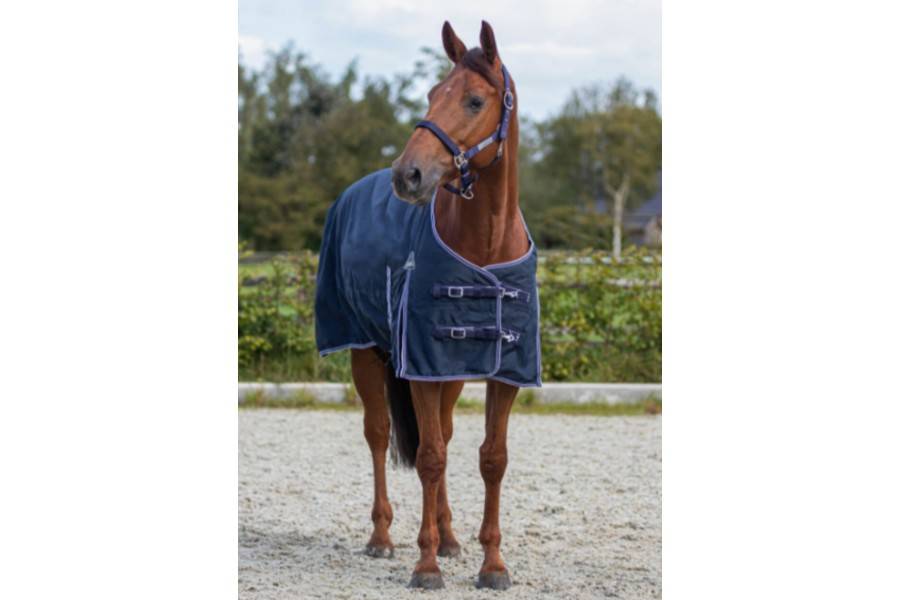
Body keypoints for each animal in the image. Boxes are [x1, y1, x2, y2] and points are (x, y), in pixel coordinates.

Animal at [314, 20, 539, 591]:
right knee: (379, 435)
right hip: (365, 351)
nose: (408, 175)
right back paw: (382, 537)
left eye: (475, 99)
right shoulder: (419, 366)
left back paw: (451, 535)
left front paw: (491, 564)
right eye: (433, 94)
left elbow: (491, 458)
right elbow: (429, 457)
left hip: (449, 373)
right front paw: (426, 564)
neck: (484, 246)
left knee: (445, 435)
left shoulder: (503, 371)